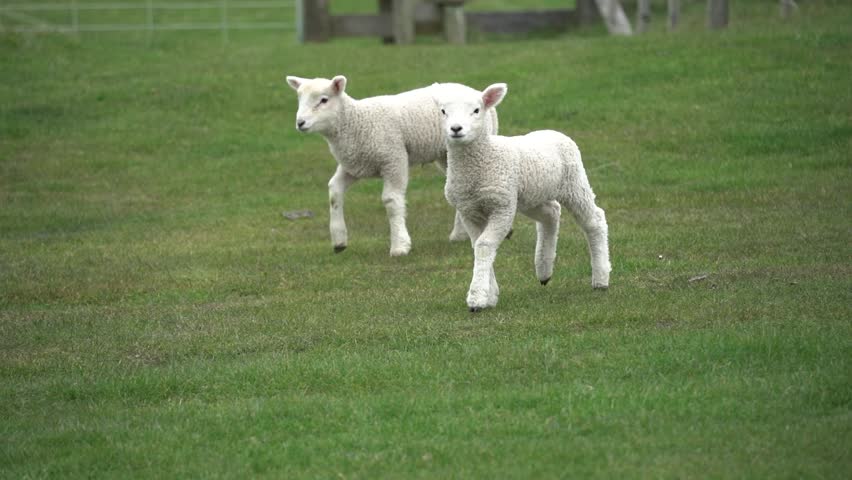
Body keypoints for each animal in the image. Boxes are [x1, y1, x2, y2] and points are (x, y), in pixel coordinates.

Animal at [286, 74, 500, 255]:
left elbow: (391, 200)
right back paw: (460, 234)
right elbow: (334, 191)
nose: (300, 123)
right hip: (446, 155)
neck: (356, 122)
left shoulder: (394, 159)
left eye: (323, 100)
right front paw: (339, 241)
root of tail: (475, 91)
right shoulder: (353, 165)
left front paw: (400, 245)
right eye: (299, 99)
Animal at [432, 82, 612, 312]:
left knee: (594, 220)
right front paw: (491, 294)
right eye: (443, 111)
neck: (480, 164)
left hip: (573, 183)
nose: (456, 129)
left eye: (476, 110)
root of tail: (553, 131)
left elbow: (484, 245)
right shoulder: (468, 211)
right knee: (551, 213)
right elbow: (477, 246)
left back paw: (600, 278)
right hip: (530, 196)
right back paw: (544, 270)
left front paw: (477, 298)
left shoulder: (502, 207)